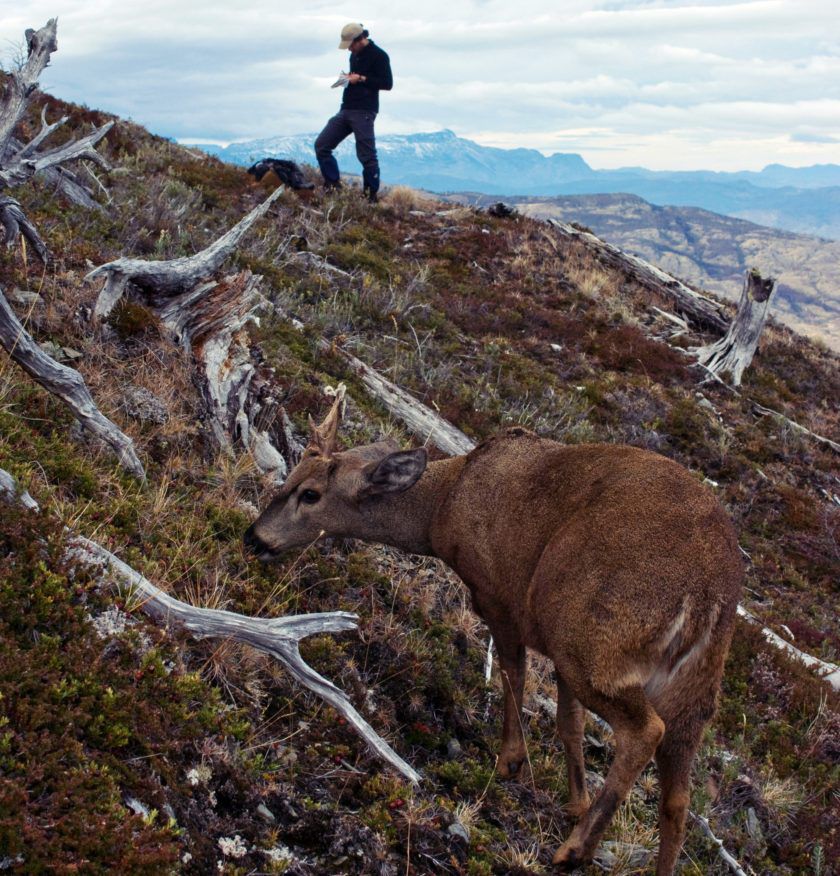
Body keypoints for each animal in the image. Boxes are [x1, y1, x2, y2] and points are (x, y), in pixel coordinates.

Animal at [243, 396, 740, 876]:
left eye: (310, 493)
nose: (253, 538)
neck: (444, 506)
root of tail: (709, 595)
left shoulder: (499, 598)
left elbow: (512, 676)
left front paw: (511, 762)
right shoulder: (553, 644)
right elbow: (569, 723)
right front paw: (573, 801)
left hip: (594, 641)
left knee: (644, 732)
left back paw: (574, 850)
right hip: (687, 687)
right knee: (679, 794)